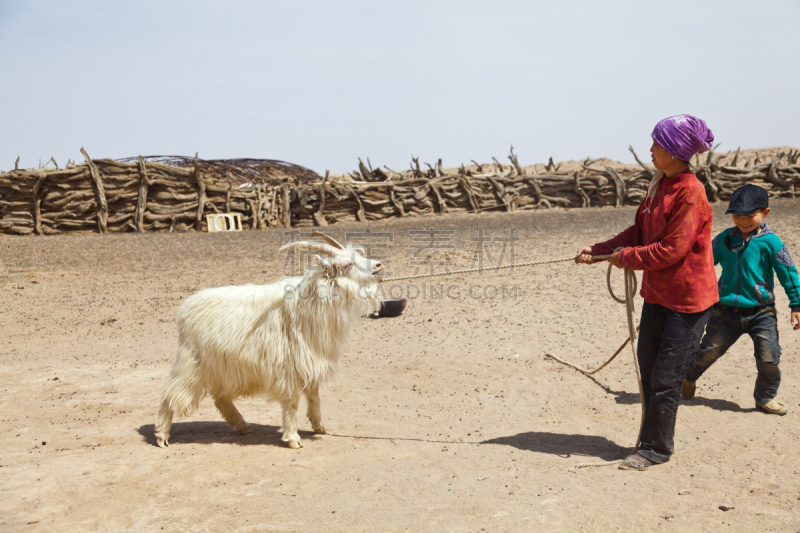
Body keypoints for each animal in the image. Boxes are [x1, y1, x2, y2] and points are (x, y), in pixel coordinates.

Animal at [155, 233, 384, 448]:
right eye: (347, 265)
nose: (379, 265)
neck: (307, 304)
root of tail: (186, 307)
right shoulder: (289, 365)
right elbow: (292, 401)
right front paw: (293, 439)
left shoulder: (310, 360)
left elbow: (314, 395)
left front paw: (319, 427)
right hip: (192, 363)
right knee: (171, 394)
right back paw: (161, 435)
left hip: (225, 366)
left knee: (221, 397)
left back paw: (242, 425)